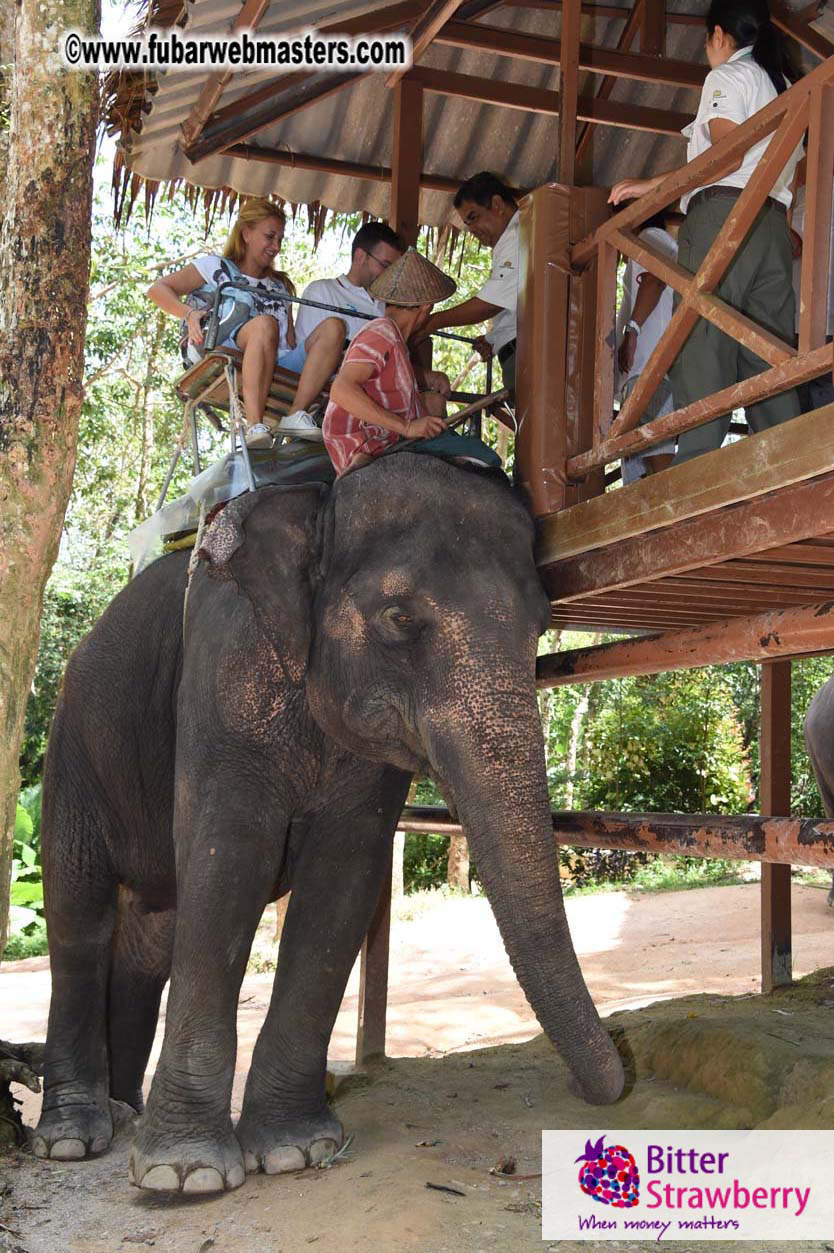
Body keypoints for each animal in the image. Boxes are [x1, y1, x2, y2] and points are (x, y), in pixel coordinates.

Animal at [32, 452, 625, 1194]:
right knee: (78, 915)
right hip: (72, 748)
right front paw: (185, 1174)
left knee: (150, 939)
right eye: (400, 616)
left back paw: (124, 1111)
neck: (316, 507)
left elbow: (343, 879)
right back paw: (74, 1137)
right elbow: (229, 866)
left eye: (541, 627)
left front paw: (295, 1151)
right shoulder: (224, 686)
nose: (602, 1087)